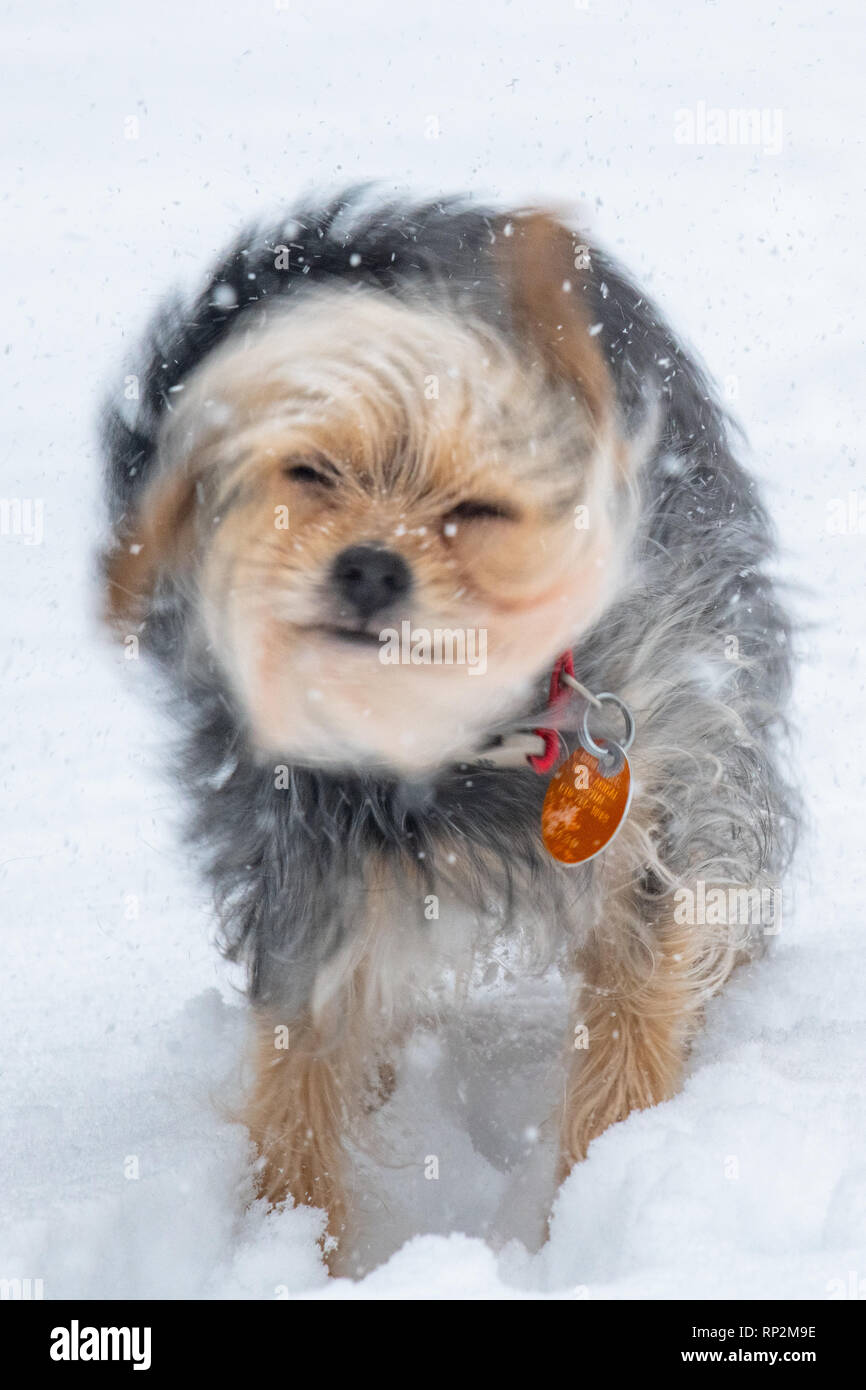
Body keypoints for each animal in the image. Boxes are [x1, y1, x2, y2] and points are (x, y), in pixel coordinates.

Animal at [97, 190, 795, 1267]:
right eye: (310, 472)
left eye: (477, 509)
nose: (369, 566)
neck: (444, 743)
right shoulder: (303, 871)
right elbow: (298, 1084)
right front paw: (288, 1249)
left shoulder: (653, 812)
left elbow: (631, 1030)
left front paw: (597, 1204)